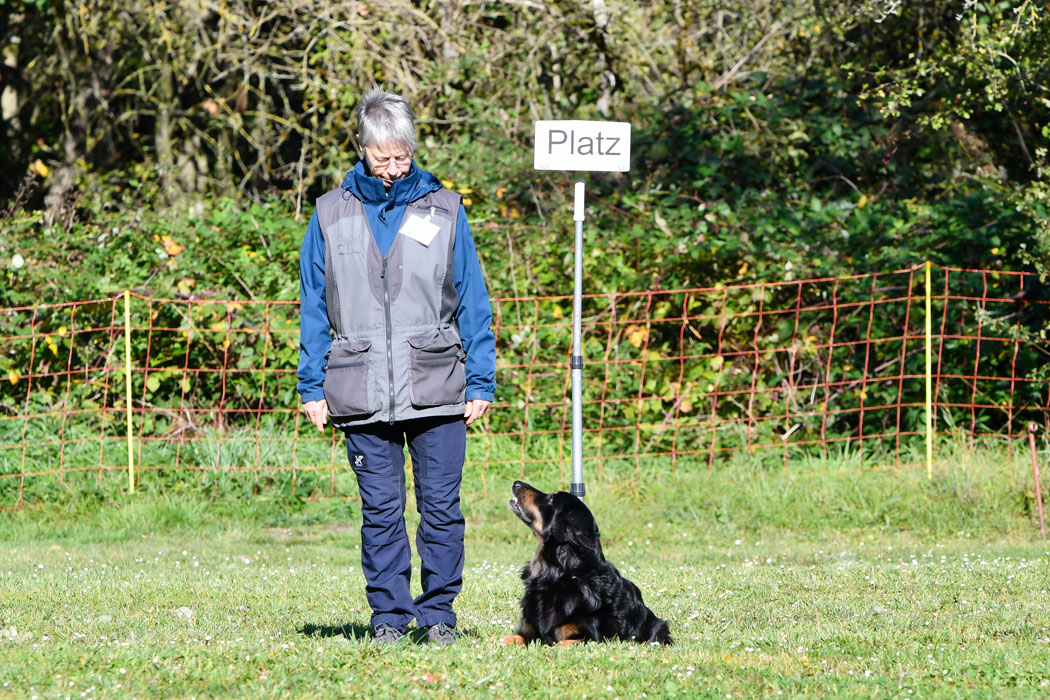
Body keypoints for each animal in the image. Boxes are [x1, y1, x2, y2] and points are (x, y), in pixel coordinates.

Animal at [501, 482, 672, 646]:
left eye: (551, 499)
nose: (516, 483)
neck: (557, 573)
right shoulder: (527, 631)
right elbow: (508, 638)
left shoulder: (592, 639)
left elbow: (560, 643)